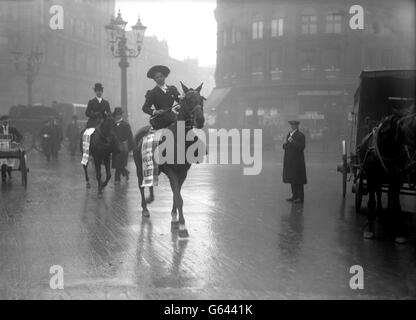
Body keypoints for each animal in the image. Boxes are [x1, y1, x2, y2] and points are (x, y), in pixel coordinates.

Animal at [132, 82, 206, 238]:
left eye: (201, 100)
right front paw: (183, 227)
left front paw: (174, 219)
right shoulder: (171, 171)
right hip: (139, 167)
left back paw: (151, 198)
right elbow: (178, 197)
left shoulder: (183, 172)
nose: (200, 120)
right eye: (188, 100)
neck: (180, 141)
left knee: (151, 181)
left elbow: (176, 194)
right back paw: (145, 208)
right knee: (141, 185)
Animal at [358, 105, 416, 242]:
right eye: (411, 124)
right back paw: (379, 214)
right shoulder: (371, 177)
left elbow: (396, 204)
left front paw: (397, 230)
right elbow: (371, 202)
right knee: (378, 193)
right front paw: (370, 229)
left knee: (386, 194)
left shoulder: (397, 178)